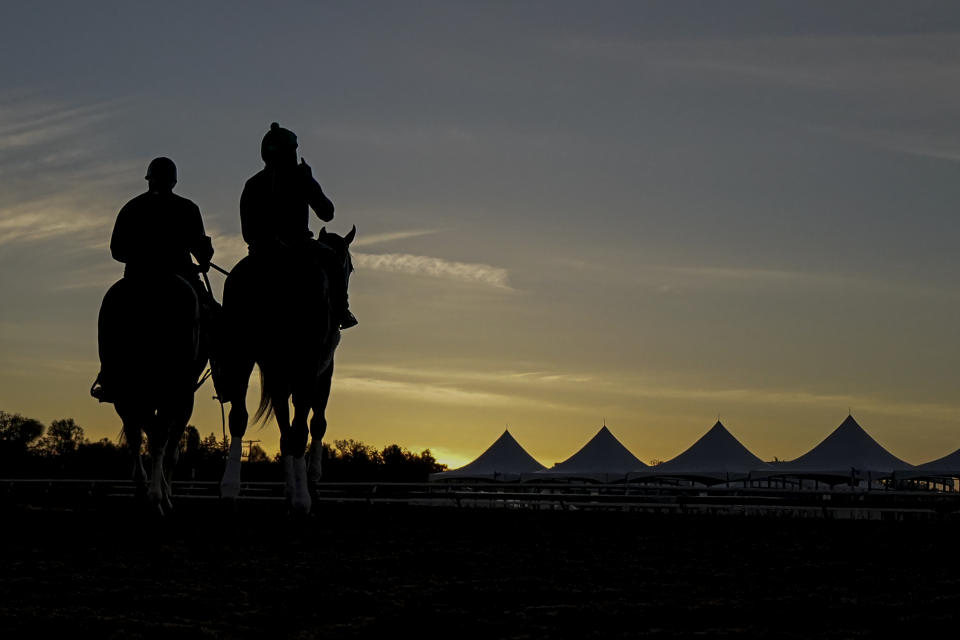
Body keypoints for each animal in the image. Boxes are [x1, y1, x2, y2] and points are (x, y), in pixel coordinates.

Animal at [95, 272, 210, 516]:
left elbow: (147, 436)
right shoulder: (183, 399)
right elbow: (169, 447)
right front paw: (164, 494)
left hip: (126, 392)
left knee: (136, 436)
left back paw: (143, 490)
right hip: (171, 391)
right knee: (158, 438)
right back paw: (156, 498)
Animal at [218, 228, 356, 512]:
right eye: (350, 267)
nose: (345, 309)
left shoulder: (279, 377)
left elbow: (286, 433)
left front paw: (291, 489)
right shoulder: (322, 372)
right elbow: (315, 424)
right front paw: (311, 482)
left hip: (242, 354)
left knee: (239, 417)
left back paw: (230, 488)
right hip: (304, 368)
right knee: (302, 427)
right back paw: (304, 498)